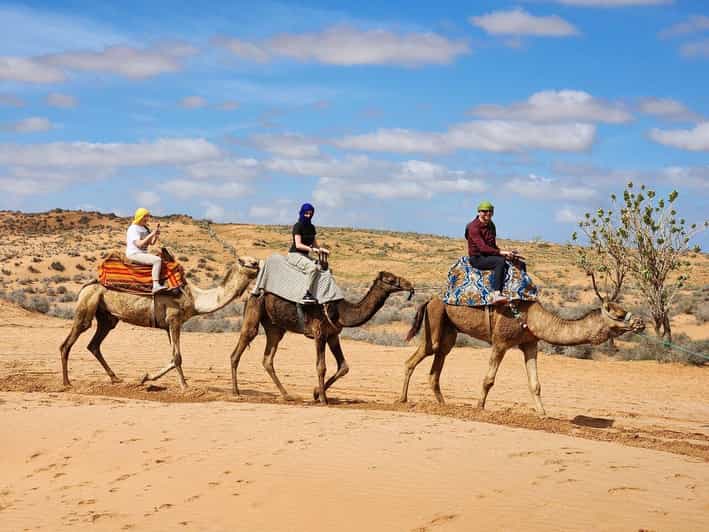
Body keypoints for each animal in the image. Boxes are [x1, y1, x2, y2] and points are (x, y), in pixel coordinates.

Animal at [60, 257, 259, 389]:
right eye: (248, 262)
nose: (259, 265)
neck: (195, 298)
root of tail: (85, 286)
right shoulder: (174, 320)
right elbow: (177, 357)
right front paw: (185, 386)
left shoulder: (169, 325)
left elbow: (173, 357)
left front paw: (145, 377)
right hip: (87, 305)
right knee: (69, 341)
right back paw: (67, 382)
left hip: (107, 317)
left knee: (94, 344)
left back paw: (115, 379)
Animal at [230, 271, 414, 404]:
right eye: (390, 279)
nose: (409, 285)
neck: (342, 311)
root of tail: (252, 290)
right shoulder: (319, 333)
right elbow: (321, 367)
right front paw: (324, 399)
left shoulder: (332, 335)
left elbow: (344, 366)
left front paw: (316, 393)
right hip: (255, 308)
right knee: (243, 342)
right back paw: (236, 392)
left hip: (275, 327)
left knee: (268, 358)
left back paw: (288, 395)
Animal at [399, 296, 644, 416]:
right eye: (619, 313)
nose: (640, 323)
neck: (533, 318)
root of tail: (429, 300)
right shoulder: (500, 342)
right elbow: (488, 380)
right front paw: (479, 407)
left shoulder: (530, 344)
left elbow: (535, 383)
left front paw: (543, 413)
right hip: (435, 319)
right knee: (418, 356)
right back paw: (402, 400)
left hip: (449, 330)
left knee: (438, 360)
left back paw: (444, 405)